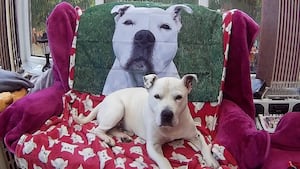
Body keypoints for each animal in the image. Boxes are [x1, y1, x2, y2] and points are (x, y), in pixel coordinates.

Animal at [72, 74, 218, 169]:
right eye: (157, 96)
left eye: (178, 97)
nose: (166, 114)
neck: (171, 128)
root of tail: (103, 101)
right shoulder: (153, 146)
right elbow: (163, 160)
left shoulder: (195, 134)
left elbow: (205, 145)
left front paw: (211, 160)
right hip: (117, 109)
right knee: (98, 129)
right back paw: (108, 139)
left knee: (111, 129)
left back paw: (123, 136)